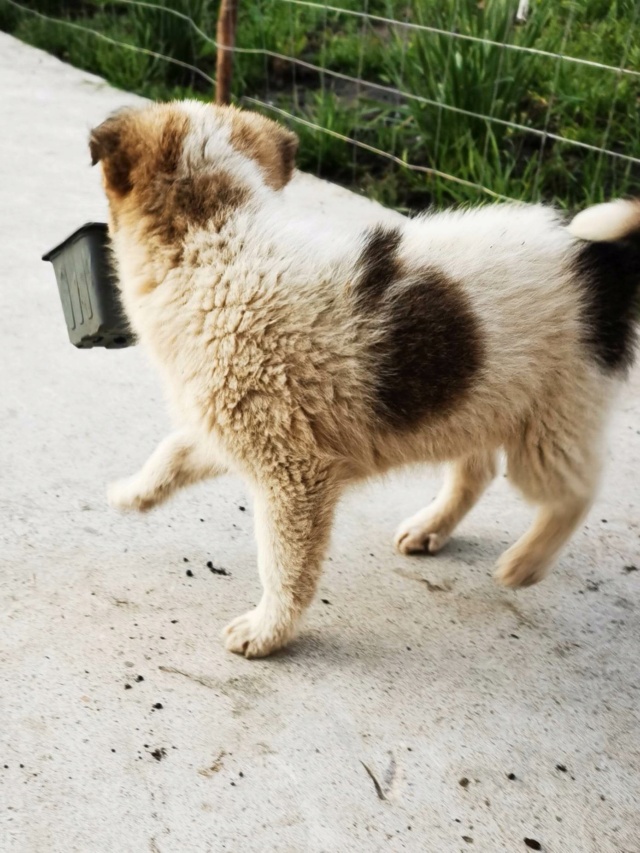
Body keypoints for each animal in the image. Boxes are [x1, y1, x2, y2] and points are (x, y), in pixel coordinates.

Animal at [91, 101, 640, 660]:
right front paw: (132, 494)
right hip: (482, 397)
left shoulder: (293, 470)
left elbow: (283, 564)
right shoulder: (242, 427)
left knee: (577, 492)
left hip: (550, 423)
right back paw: (430, 528)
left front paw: (267, 631)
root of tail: (602, 262)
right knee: (478, 471)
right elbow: (172, 452)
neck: (220, 243)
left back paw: (524, 564)